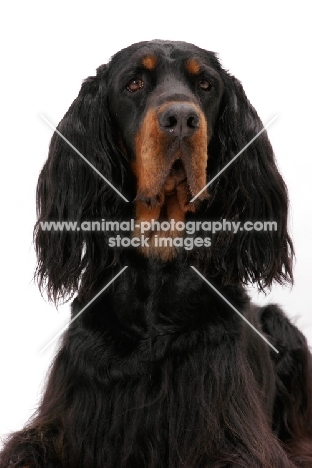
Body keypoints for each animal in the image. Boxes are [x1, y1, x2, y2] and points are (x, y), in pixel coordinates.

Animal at [1, 41, 310, 468]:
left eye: (205, 84)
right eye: (134, 83)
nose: (181, 119)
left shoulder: (231, 432)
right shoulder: (69, 416)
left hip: (281, 327)